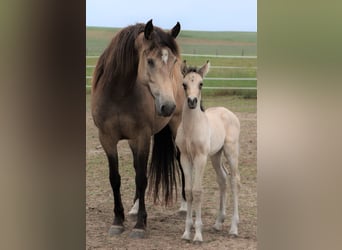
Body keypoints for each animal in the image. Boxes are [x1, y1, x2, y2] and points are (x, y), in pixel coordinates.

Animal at [91, 19, 184, 238]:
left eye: (173, 61)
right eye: (149, 61)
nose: (168, 106)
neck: (118, 94)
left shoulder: (143, 137)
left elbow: (142, 178)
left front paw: (140, 224)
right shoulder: (107, 139)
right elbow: (115, 178)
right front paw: (118, 220)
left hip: (176, 128)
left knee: (181, 161)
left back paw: (185, 207)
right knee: (135, 167)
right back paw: (133, 209)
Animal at [176, 60, 240, 242]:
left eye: (201, 84)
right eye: (184, 84)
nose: (192, 101)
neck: (191, 128)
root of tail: (229, 113)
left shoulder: (200, 158)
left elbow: (197, 191)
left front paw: (197, 235)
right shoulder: (185, 157)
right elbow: (188, 191)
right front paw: (186, 233)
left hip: (231, 152)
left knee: (234, 181)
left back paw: (234, 228)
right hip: (216, 156)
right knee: (223, 179)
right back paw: (218, 223)